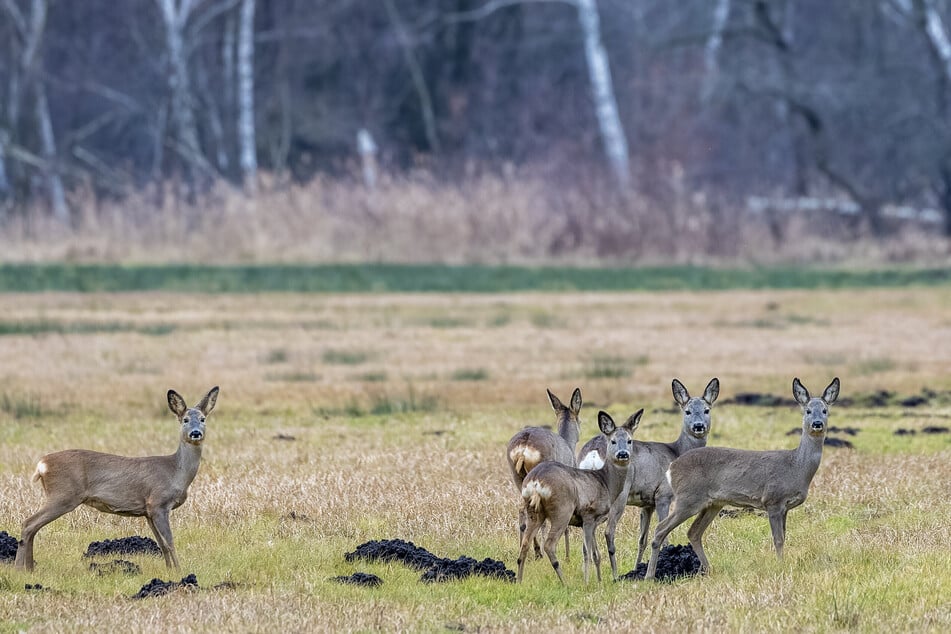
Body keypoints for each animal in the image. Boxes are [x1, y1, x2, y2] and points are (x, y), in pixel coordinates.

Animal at [15, 382, 221, 572]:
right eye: (185, 420)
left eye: (203, 419)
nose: (196, 433)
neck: (176, 472)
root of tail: (42, 464)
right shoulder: (158, 503)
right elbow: (169, 541)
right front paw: (179, 571)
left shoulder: (147, 511)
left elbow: (161, 544)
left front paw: (169, 570)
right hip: (63, 494)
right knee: (28, 523)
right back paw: (19, 568)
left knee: (33, 527)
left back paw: (29, 568)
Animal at [510, 386, 584, 556]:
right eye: (580, 420)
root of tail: (524, 447)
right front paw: (568, 555)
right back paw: (541, 551)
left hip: (519, 477)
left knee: (523, 510)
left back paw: (531, 550)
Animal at [516, 410, 644, 584]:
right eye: (613, 441)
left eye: (629, 441)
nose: (623, 454)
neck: (606, 482)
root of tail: (536, 481)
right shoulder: (589, 515)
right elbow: (587, 552)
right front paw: (587, 582)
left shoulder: (594, 522)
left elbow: (596, 554)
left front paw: (599, 581)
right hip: (562, 510)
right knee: (549, 545)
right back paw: (565, 583)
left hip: (535, 511)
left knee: (525, 544)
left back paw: (519, 581)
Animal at [576, 378, 716, 576]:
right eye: (687, 411)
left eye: (706, 410)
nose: (698, 426)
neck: (676, 452)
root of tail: (593, 453)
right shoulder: (663, 495)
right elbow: (663, 533)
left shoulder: (647, 503)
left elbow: (642, 539)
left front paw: (638, 567)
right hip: (619, 495)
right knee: (609, 532)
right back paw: (615, 575)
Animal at [648, 376, 840, 576]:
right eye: (808, 410)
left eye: (825, 410)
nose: (817, 423)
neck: (796, 467)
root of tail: (672, 467)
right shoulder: (773, 500)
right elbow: (778, 539)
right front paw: (780, 566)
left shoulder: (785, 507)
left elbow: (784, 537)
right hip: (688, 498)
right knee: (660, 529)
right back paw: (650, 575)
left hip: (712, 503)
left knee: (693, 532)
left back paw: (708, 569)